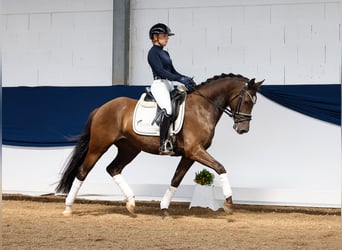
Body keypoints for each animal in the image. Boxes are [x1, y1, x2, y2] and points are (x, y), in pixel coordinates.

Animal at [56, 73, 264, 218]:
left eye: (254, 103)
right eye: (246, 101)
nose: (243, 129)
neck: (202, 108)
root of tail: (102, 107)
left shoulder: (189, 155)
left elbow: (176, 180)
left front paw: (164, 209)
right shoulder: (195, 151)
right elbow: (221, 167)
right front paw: (228, 203)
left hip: (130, 149)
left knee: (113, 168)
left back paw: (131, 203)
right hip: (99, 146)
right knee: (82, 172)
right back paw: (68, 208)